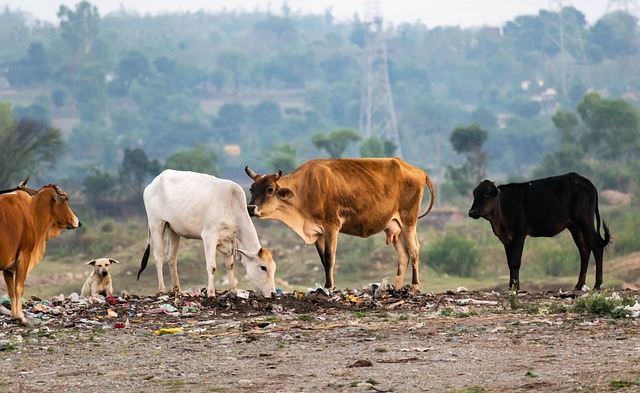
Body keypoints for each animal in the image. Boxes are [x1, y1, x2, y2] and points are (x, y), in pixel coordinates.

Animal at [0, 182, 82, 324]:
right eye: (66, 198)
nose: (78, 222)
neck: (31, 209)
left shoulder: (8, 266)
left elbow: (11, 290)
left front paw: (14, 316)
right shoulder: (24, 255)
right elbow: (19, 288)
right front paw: (21, 317)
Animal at [136, 169, 276, 298]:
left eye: (274, 268)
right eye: (263, 267)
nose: (273, 293)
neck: (231, 207)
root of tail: (152, 183)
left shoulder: (229, 241)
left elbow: (229, 265)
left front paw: (233, 291)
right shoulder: (209, 236)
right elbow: (211, 266)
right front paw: (211, 293)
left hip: (173, 229)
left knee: (171, 257)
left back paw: (177, 289)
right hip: (156, 224)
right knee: (158, 256)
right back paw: (161, 289)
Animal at [245, 157, 436, 290]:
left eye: (270, 189)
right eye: (252, 188)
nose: (250, 208)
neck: (305, 189)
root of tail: (419, 171)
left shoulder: (332, 226)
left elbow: (330, 258)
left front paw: (329, 287)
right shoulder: (318, 232)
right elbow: (323, 260)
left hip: (408, 221)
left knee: (414, 250)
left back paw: (414, 285)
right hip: (395, 226)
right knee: (403, 254)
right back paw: (396, 288)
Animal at [470, 172, 608, 290]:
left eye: (486, 194)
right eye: (475, 193)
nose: (472, 212)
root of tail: (586, 182)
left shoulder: (520, 234)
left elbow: (515, 262)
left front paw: (516, 288)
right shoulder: (506, 239)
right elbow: (509, 263)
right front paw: (510, 287)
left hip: (585, 222)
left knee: (596, 246)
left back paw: (597, 284)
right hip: (574, 227)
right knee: (584, 250)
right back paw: (579, 285)